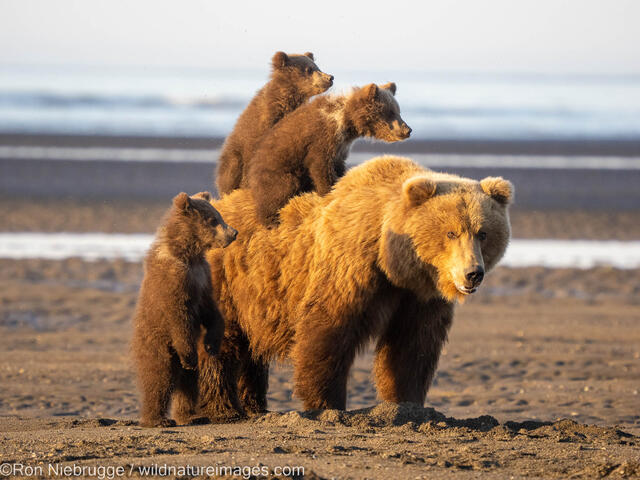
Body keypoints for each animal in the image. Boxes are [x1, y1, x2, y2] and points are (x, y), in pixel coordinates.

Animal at [198, 156, 512, 418]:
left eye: (483, 233)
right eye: (451, 233)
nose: (473, 273)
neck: (392, 262)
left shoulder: (417, 297)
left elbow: (412, 347)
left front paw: (406, 403)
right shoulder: (351, 269)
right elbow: (328, 331)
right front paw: (327, 404)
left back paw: (254, 405)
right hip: (229, 281)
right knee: (221, 343)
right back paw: (224, 407)